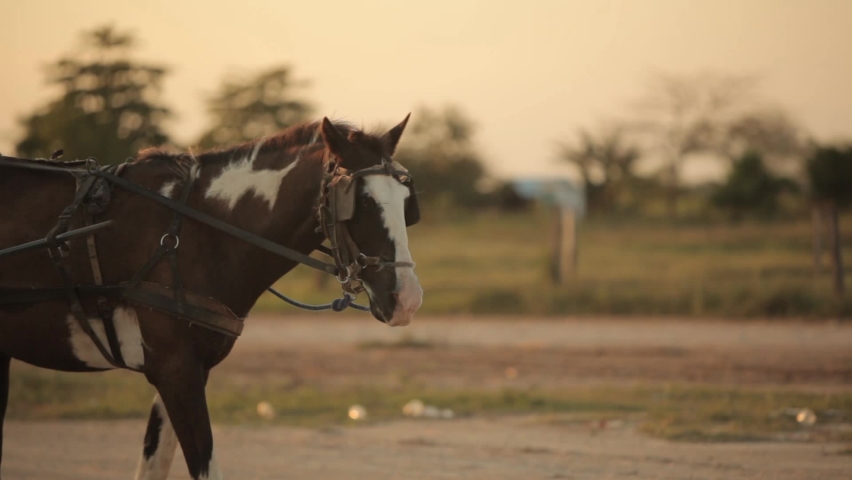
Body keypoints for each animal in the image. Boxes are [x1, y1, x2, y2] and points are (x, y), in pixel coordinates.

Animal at [0, 116, 423, 479]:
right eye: (362, 202)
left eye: (407, 204)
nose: (408, 299)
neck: (191, 234)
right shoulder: (175, 369)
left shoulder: (187, 371)